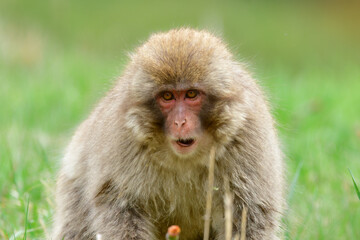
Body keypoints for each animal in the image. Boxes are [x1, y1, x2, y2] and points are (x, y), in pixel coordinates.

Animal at [52, 28, 284, 240]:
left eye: (191, 94)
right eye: (167, 96)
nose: (180, 122)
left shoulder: (247, 135)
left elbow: (248, 214)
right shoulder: (123, 140)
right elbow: (121, 207)